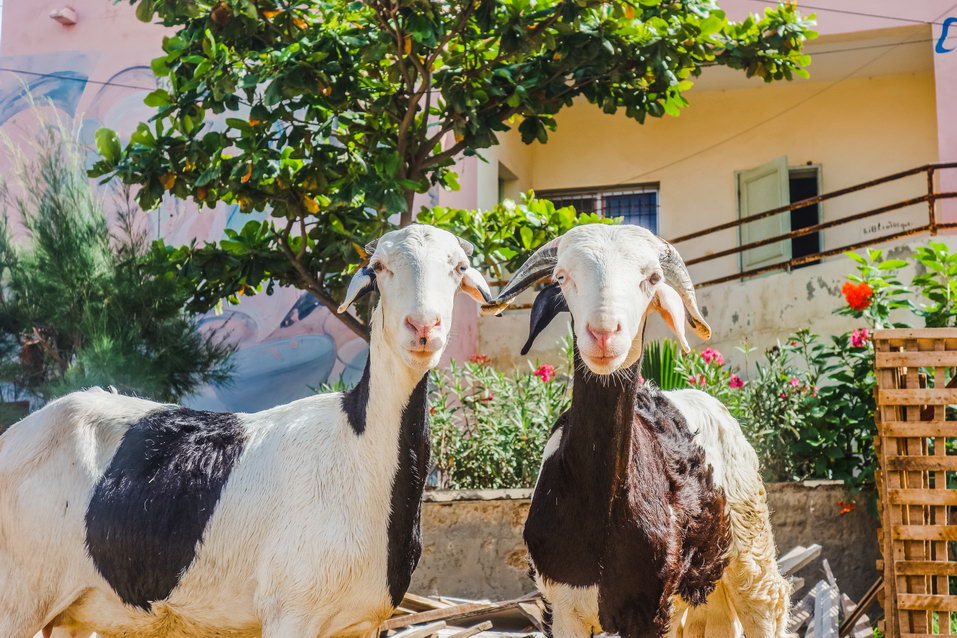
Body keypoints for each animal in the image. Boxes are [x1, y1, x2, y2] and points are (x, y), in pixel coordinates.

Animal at [0, 224, 490, 638]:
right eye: (380, 268)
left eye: (458, 268)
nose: (423, 327)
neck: (357, 445)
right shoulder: (290, 613)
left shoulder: (361, 624)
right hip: (17, 597)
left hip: (71, 611)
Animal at [490, 224, 788, 638]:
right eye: (562, 277)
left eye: (653, 278)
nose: (603, 333)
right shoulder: (561, 605)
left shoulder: (650, 605)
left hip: (749, 537)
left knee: (767, 604)